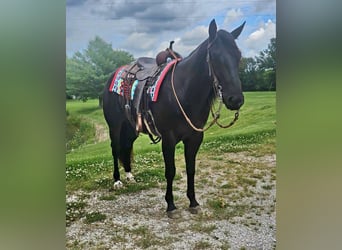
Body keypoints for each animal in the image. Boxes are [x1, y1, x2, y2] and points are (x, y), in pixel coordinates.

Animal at [103, 19, 244, 217]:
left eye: (238, 56)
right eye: (215, 57)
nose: (235, 99)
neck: (184, 91)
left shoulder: (194, 137)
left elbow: (191, 169)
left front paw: (193, 202)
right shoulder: (168, 139)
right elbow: (170, 171)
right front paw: (170, 205)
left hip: (131, 128)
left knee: (126, 146)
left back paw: (130, 175)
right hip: (115, 126)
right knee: (116, 148)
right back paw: (117, 180)